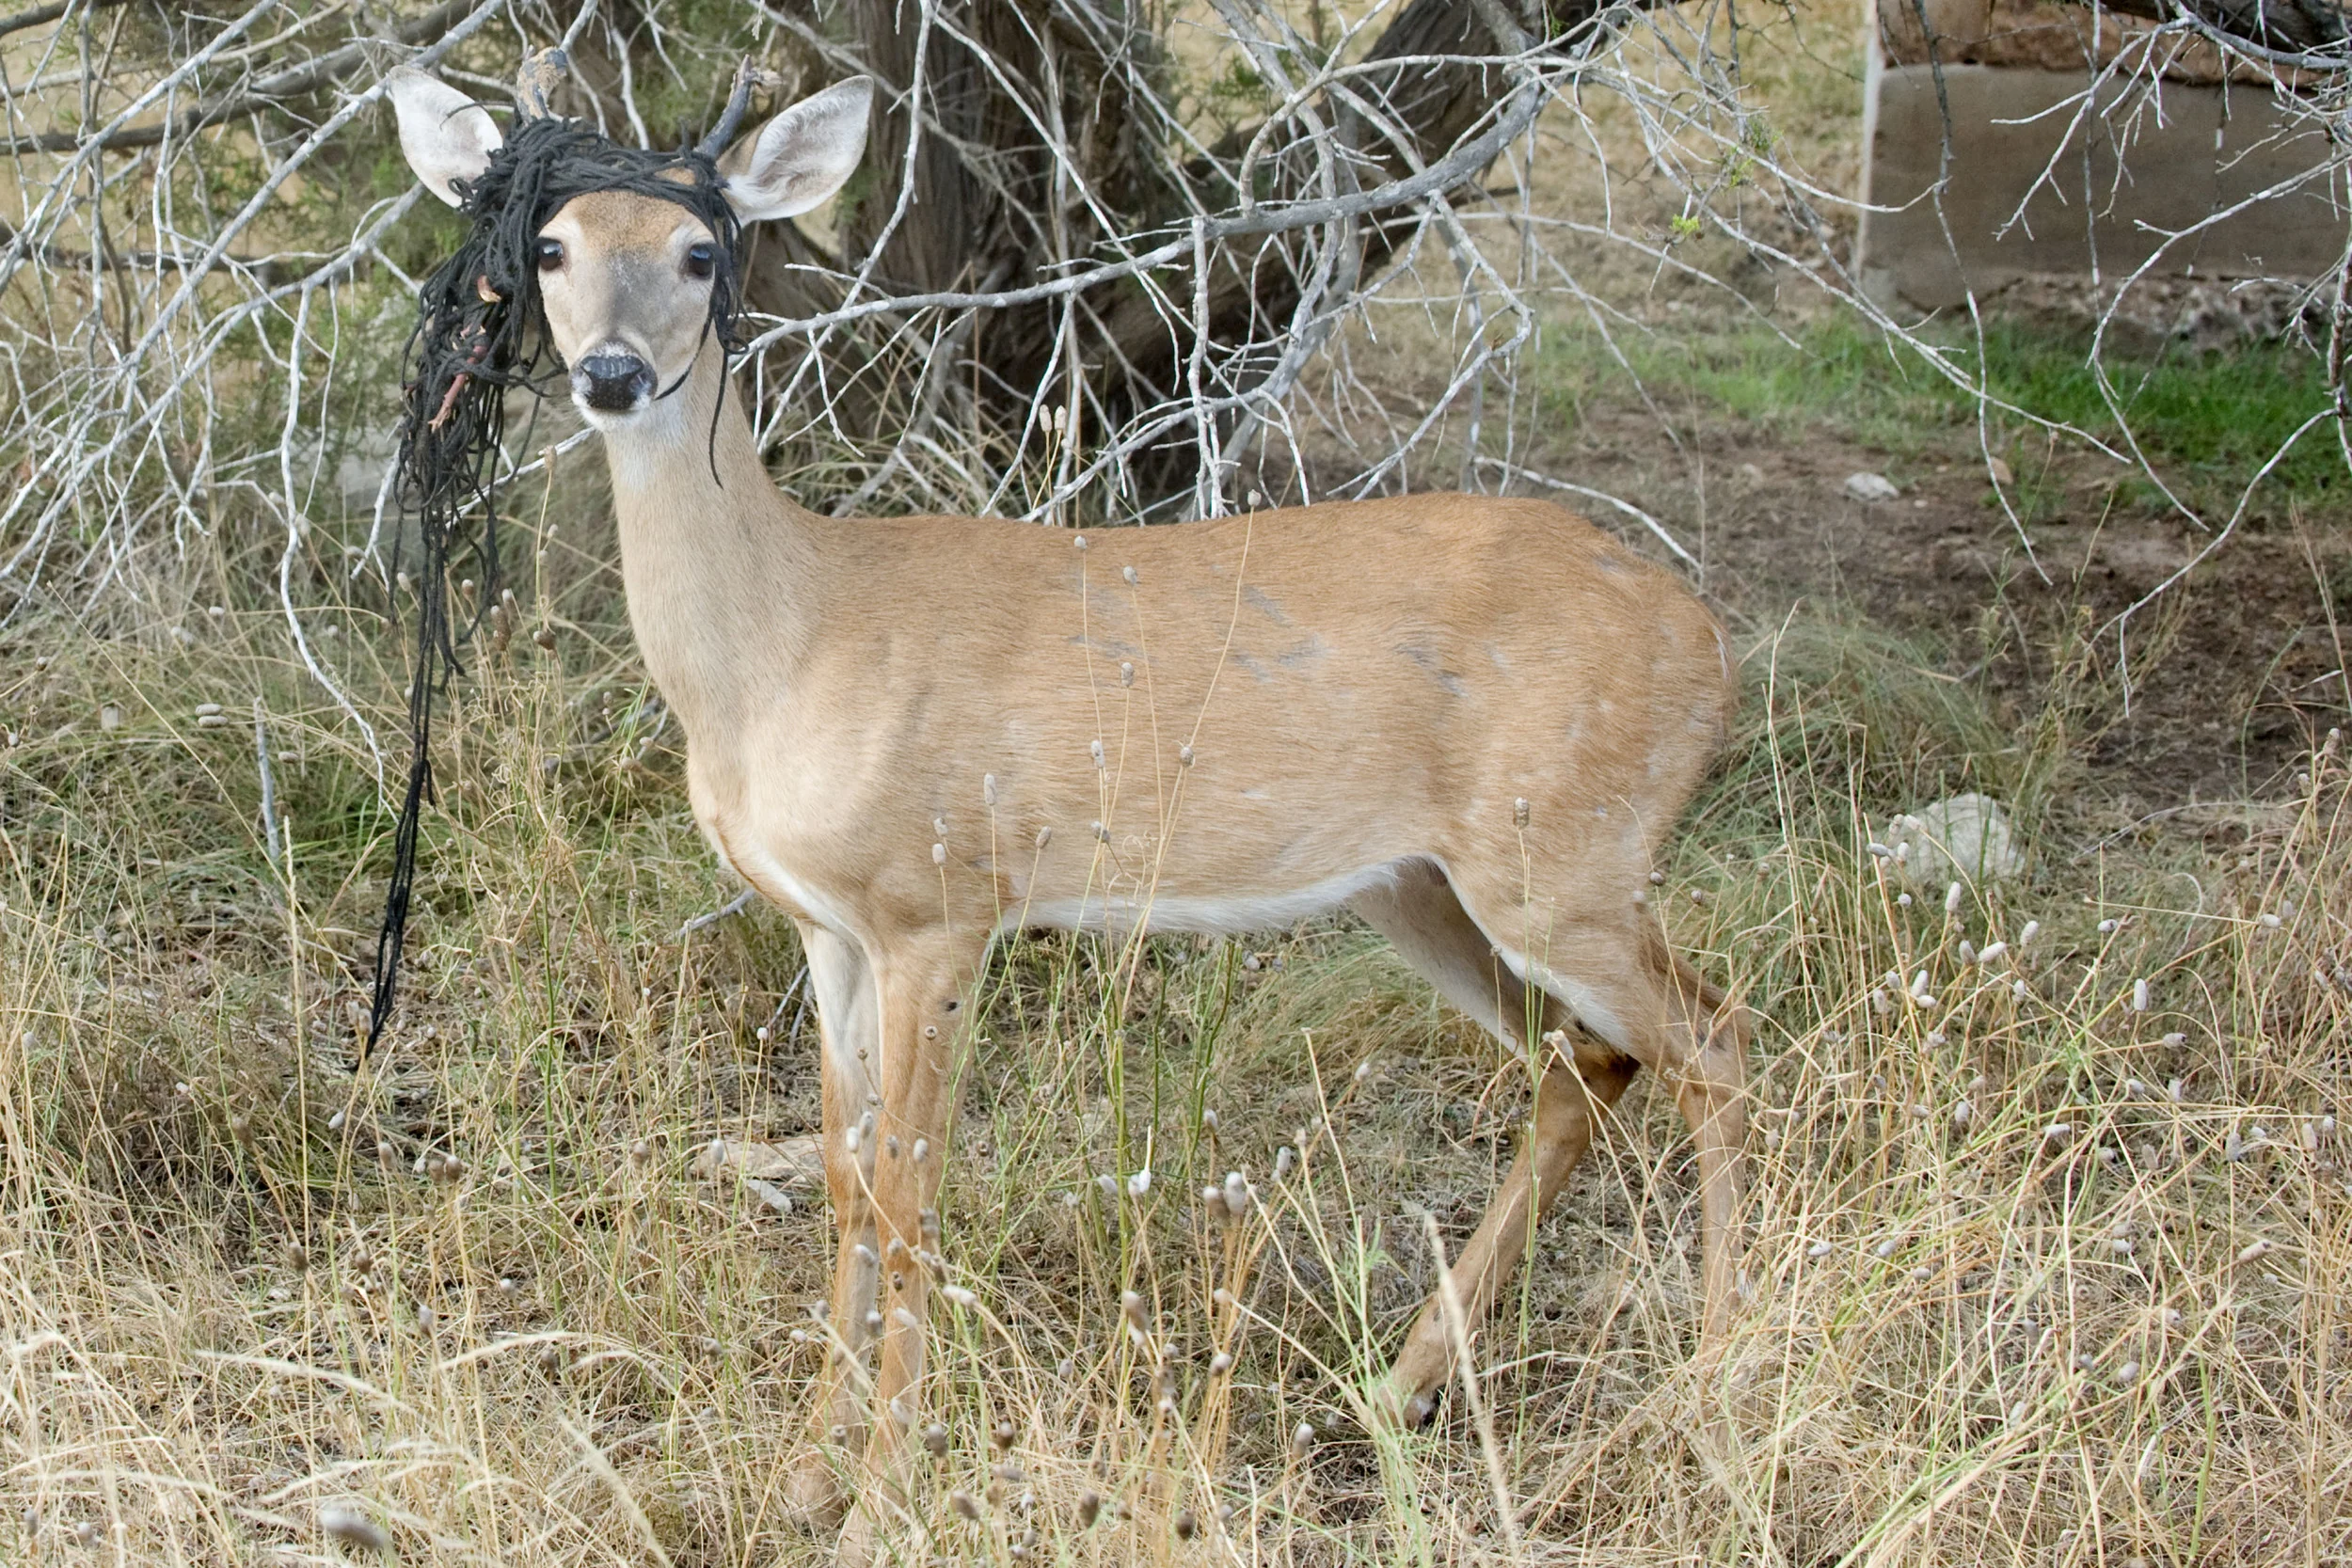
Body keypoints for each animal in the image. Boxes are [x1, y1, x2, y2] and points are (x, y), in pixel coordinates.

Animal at [389, 54, 1749, 1558]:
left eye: (698, 251)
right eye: (551, 248)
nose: (613, 373)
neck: (789, 642)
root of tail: (1710, 640)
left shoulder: (939, 902)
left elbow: (911, 1180)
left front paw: (879, 1497)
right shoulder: (825, 926)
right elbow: (846, 1176)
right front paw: (804, 1472)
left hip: (1567, 848)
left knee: (1719, 1042)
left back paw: (1715, 1390)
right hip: (1429, 882)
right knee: (1588, 1062)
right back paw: (1405, 1381)